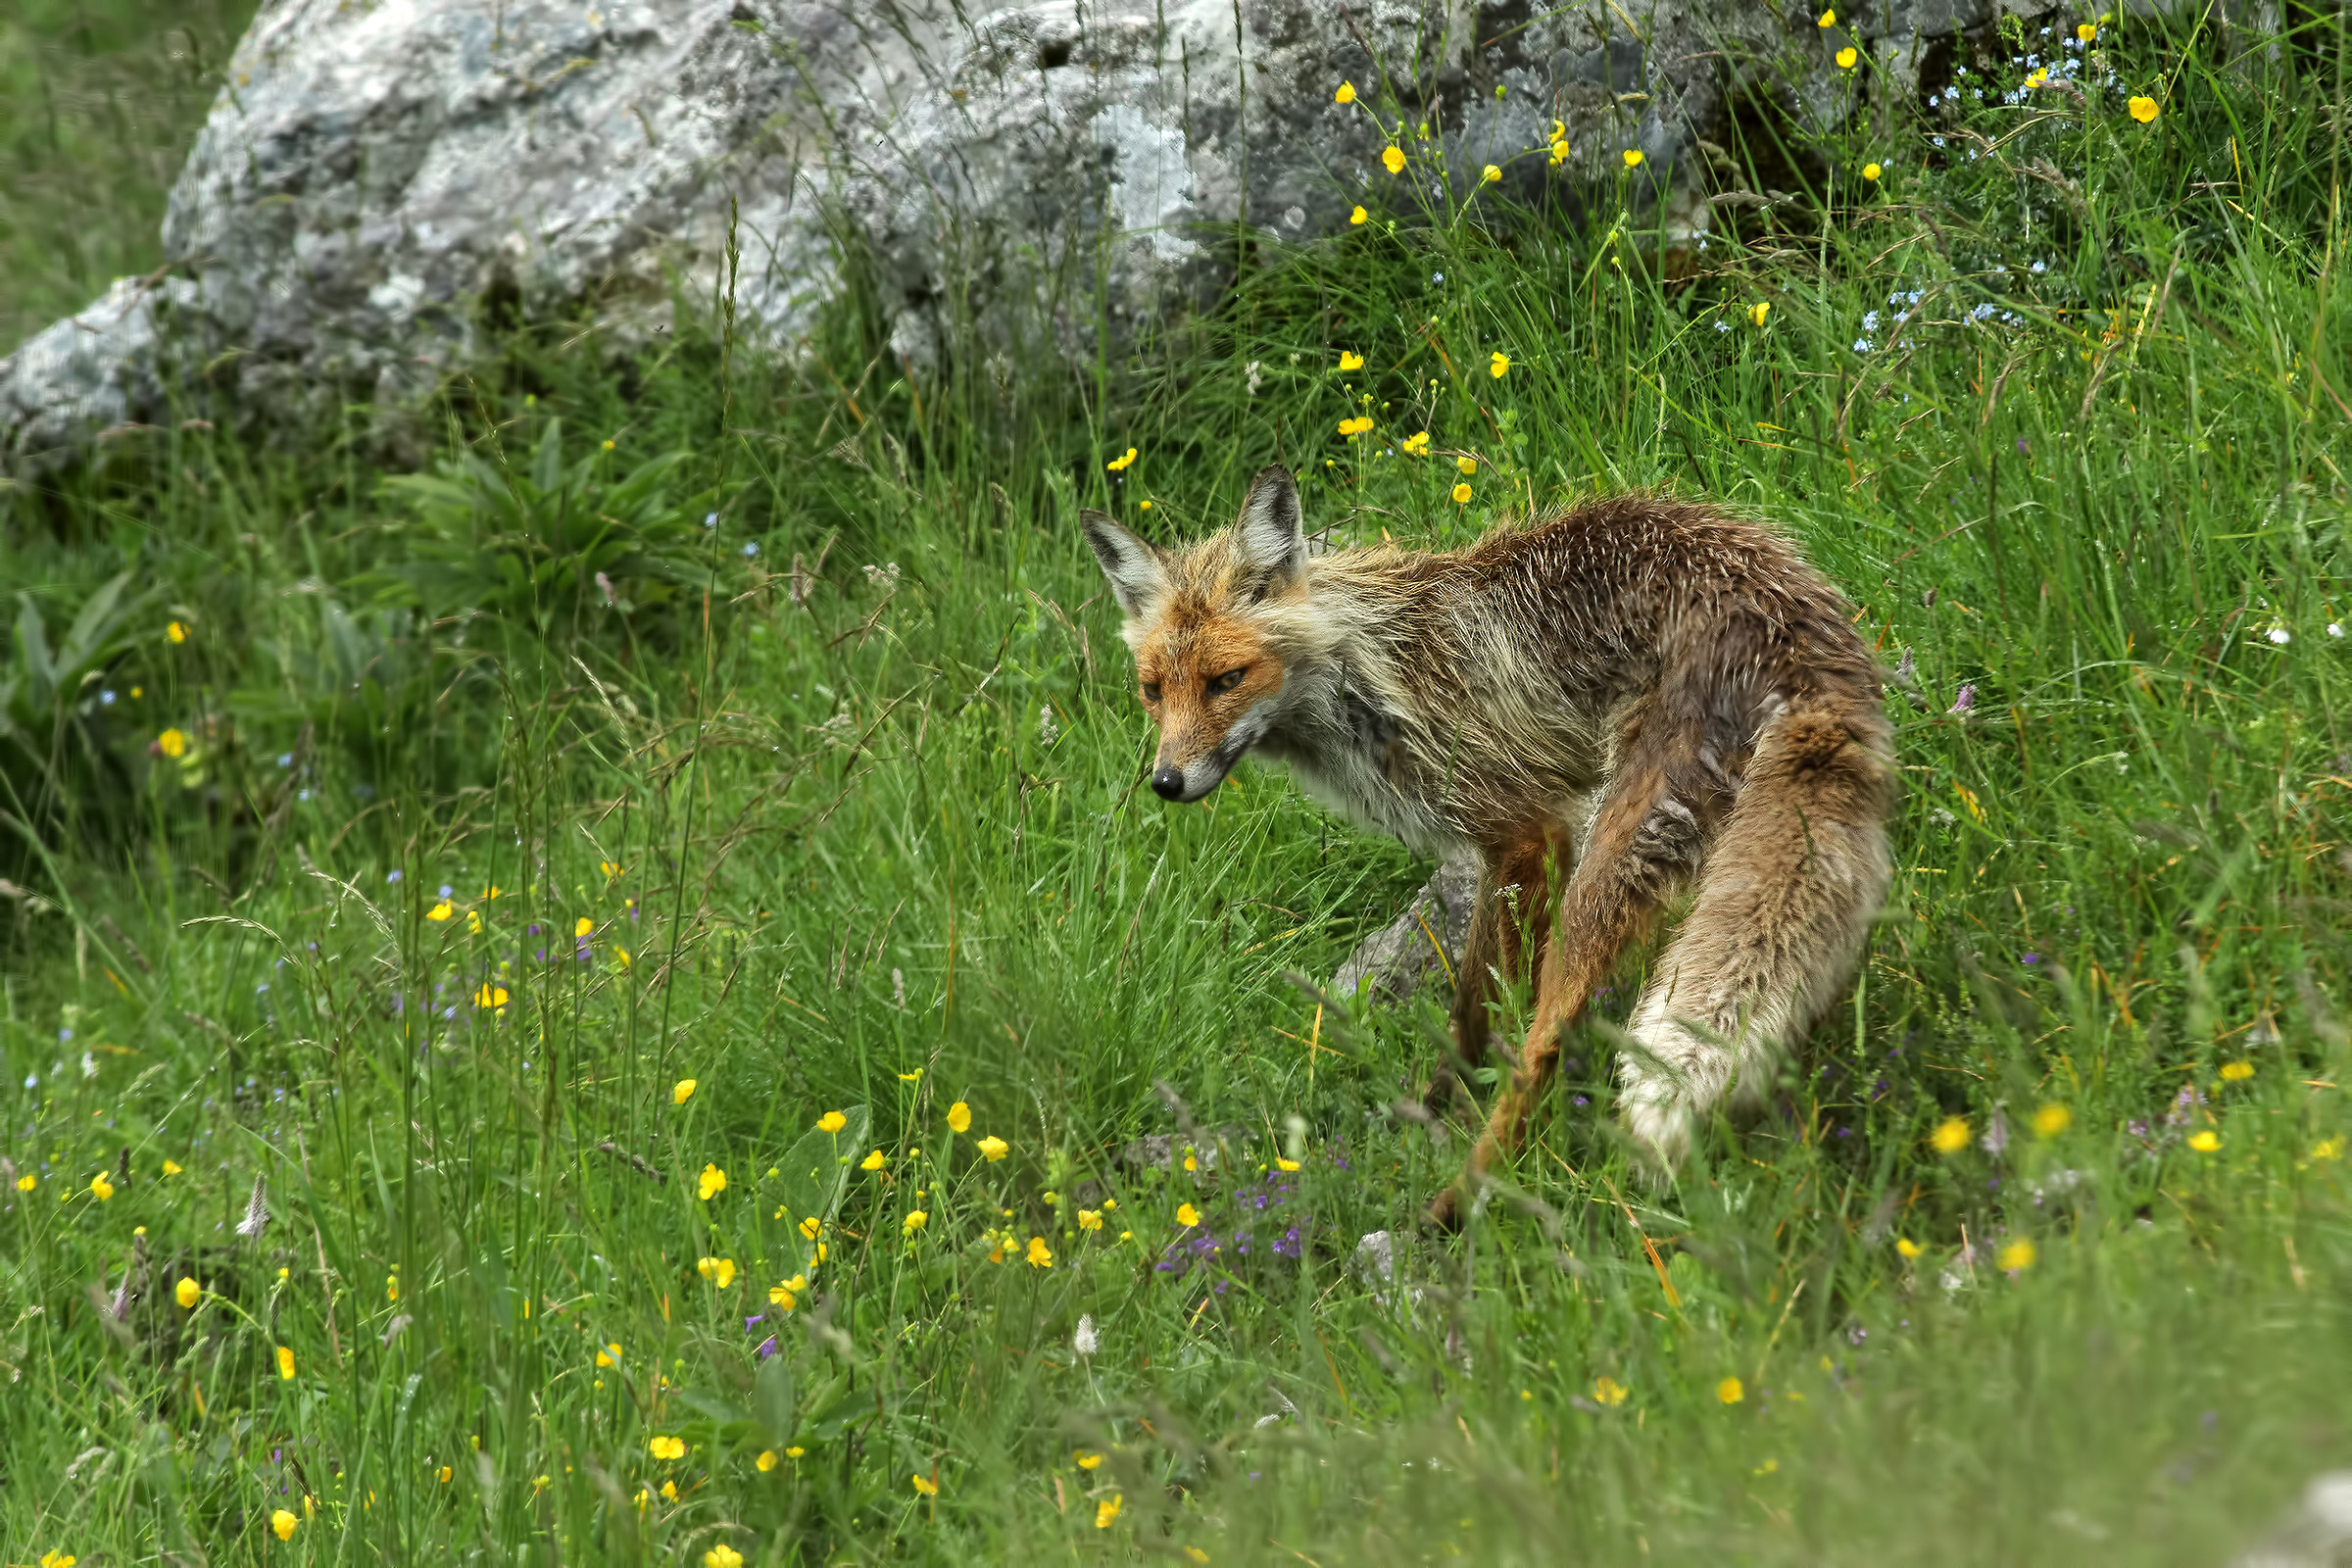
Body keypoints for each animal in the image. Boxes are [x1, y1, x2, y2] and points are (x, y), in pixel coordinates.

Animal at [1083, 466, 1894, 1227]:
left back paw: (1462, 1205)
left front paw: (1454, 1109)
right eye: (1153, 689)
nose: (1166, 782)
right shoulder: (1512, 845)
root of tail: (1787, 607)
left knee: (1548, 1038)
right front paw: (1439, 1103)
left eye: (1226, 679)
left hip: (1610, 860)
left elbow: (1486, 1009)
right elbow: (1472, 1008)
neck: (1373, 668)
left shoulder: (1526, 829)